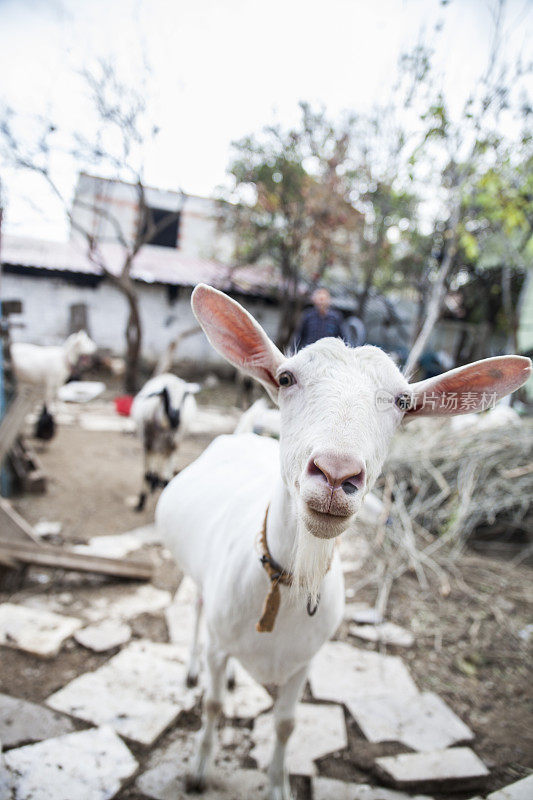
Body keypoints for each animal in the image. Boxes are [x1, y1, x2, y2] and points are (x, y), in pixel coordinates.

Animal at [131, 370, 200, 510]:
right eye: (165, 394)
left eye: (185, 395)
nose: (175, 419)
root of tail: (169, 375)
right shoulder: (147, 444)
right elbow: (146, 474)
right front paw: (141, 502)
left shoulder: (173, 446)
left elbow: (167, 481)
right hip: (156, 445)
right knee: (154, 465)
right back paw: (153, 483)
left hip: (169, 445)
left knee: (162, 461)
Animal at [156, 282, 528, 800]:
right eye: (286, 377)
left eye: (403, 402)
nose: (335, 473)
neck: (284, 585)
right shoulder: (221, 636)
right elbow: (210, 707)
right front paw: (197, 771)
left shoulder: (304, 663)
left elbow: (287, 724)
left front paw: (278, 785)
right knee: (195, 610)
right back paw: (193, 670)